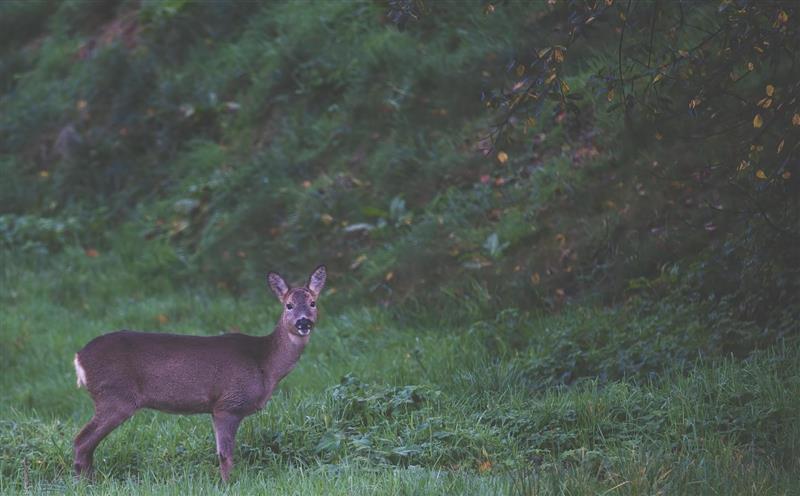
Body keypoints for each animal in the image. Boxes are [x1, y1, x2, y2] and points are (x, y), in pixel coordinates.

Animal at [72, 266, 326, 482]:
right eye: (289, 305)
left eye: (313, 303)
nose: (303, 322)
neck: (264, 363)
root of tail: (79, 357)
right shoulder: (228, 404)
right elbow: (226, 455)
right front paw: (228, 485)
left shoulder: (218, 408)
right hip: (115, 396)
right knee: (81, 441)